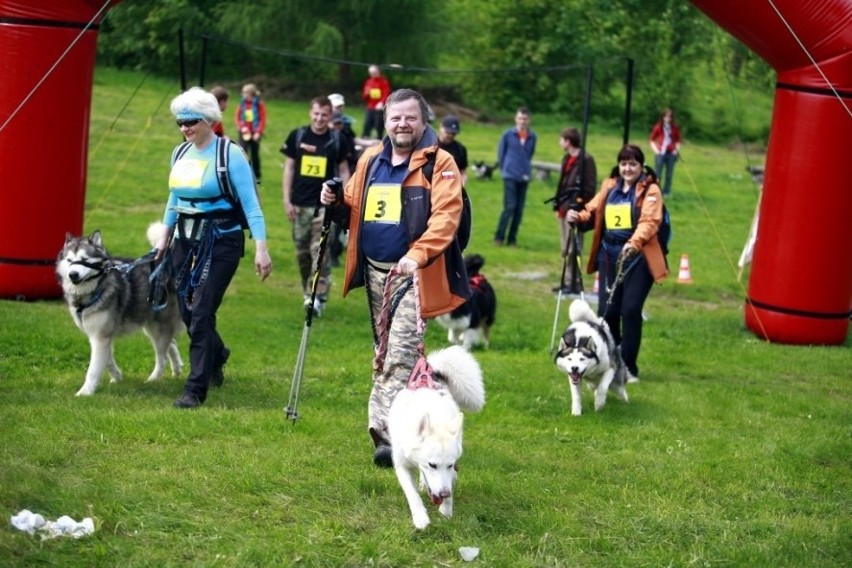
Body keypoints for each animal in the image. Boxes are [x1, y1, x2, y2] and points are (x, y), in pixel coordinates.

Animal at [57, 224, 185, 398]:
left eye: (84, 260)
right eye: (69, 260)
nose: (73, 274)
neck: (95, 289)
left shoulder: (100, 336)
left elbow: (93, 368)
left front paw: (85, 392)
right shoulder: (99, 335)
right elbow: (107, 360)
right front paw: (117, 376)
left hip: (158, 327)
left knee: (162, 357)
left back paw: (152, 379)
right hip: (151, 324)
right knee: (171, 343)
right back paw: (177, 367)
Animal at [388, 344, 486, 532]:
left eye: (450, 465)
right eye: (432, 465)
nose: (443, 494)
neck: (434, 416)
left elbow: (448, 487)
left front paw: (446, 513)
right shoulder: (402, 465)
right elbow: (412, 495)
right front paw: (421, 518)